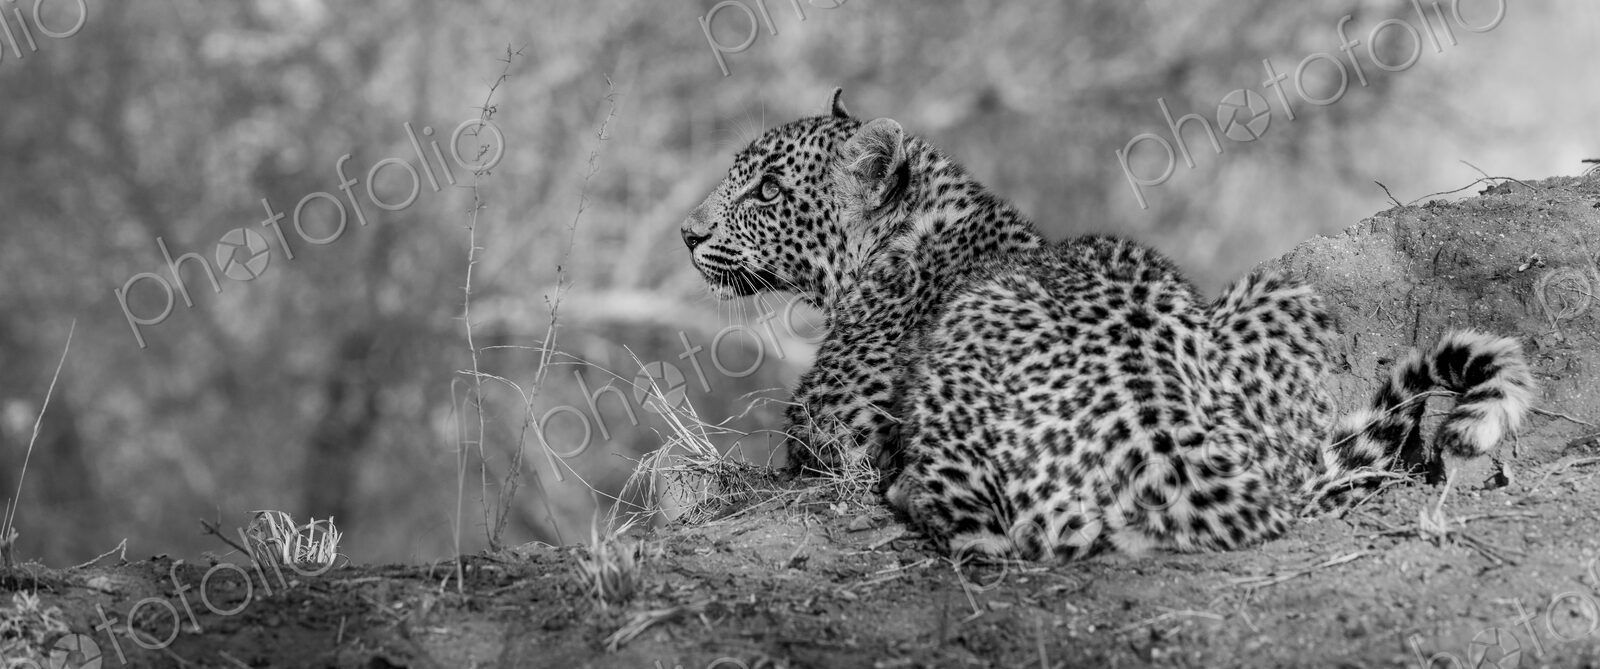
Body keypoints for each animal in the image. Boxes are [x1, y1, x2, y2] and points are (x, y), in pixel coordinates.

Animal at [681, 89, 1536, 560]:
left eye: (764, 190)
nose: (688, 234)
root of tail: (1172, 441)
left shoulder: (829, 428)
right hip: (1279, 297)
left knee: (993, 532)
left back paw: (913, 493)